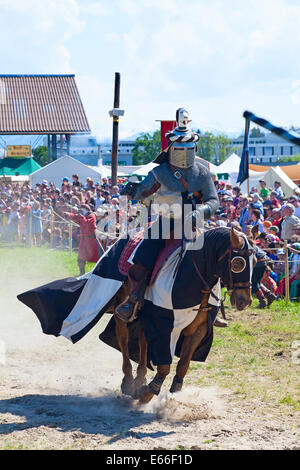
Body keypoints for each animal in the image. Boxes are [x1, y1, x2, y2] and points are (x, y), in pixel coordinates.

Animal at [108, 227, 255, 404]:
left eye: (255, 262)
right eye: (238, 263)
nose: (245, 301)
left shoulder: (198, 329)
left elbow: (183, 365)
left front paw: (174, 390)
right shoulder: (165, 327)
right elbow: (164, 366)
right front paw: (148, 392)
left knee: (143, 340)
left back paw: (140, 379)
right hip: (122, 307)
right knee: (123, 338)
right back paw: (129, 382)